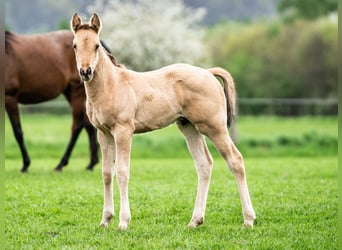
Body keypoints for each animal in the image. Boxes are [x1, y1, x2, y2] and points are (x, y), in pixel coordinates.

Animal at [5, 29, 99, 172]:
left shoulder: (9, 98)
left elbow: (18, 132)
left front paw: (26, 164)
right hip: (72, 93)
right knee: (88, 124)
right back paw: (91, 164)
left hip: (77, 92)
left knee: (77, 125)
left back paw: (61, 164)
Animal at [71, 13, 255, 231]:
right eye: (75, 45)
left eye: (97, 45)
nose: (86, 72)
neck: (112, 85)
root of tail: (208, 73)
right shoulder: (104, 133)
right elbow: (107, 173)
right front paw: (105, 220)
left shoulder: (123, 131)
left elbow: (122, 173)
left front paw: (123, 222)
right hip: (189, 127)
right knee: (204, 165)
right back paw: (195, 221)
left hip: (214, 127)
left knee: (235, 160)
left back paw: (248, 219)